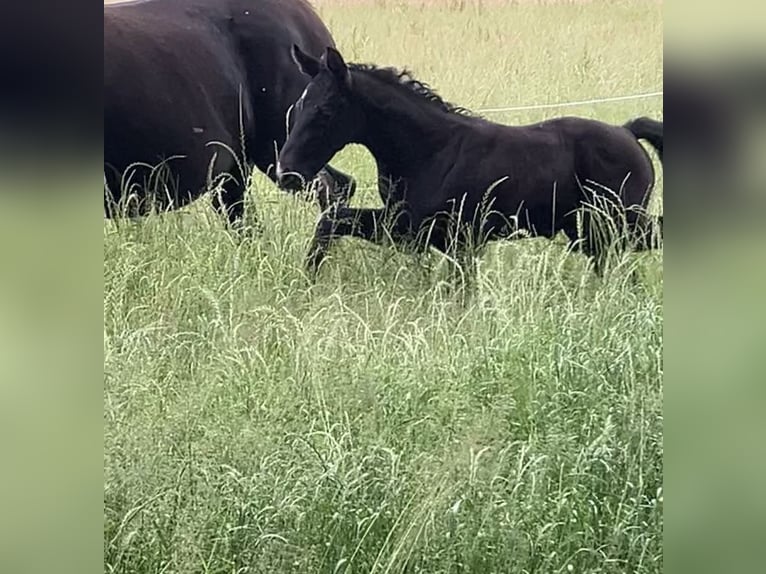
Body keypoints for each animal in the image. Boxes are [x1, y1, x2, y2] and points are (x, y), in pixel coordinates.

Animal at [278, 46, 664, 280]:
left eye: (325, 112)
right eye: (298, 107)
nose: (286, 174)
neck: (431, 150)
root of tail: (627, 131)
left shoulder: (445, 236)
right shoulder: (404, 226)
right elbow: (334, 219)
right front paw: (308, 275)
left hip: (615, 223)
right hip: (589, 233)